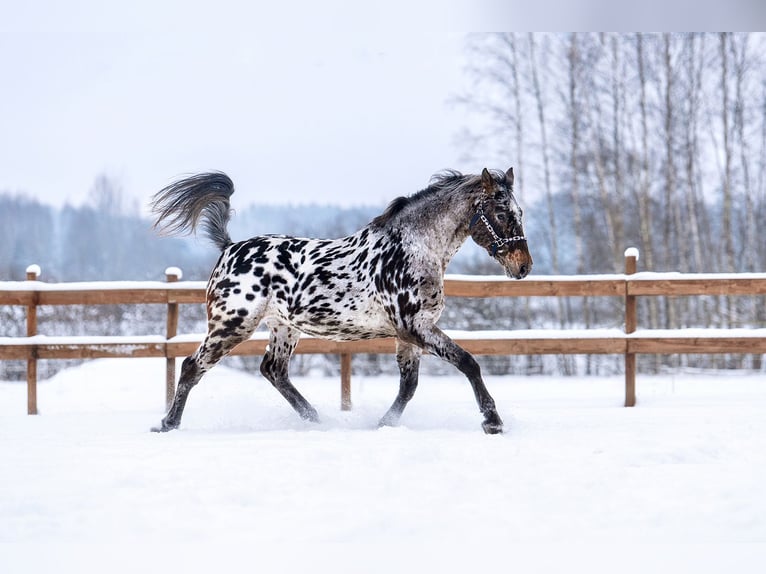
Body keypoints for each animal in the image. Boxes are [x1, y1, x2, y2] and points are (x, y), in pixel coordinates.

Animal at [150, 167, 532, 434]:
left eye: (520, 213)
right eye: (501, 214)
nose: (523, 266)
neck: (414, 249)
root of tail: (230, 247)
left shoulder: (409, 334)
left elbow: (408, 386)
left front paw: (383, 424)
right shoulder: (415, 327)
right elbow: (468, 362)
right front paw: (492, 421)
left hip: (283, 328)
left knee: (273, 370)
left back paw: (315, 419)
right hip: (232, 324)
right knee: (192, 366)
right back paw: (168, 424)